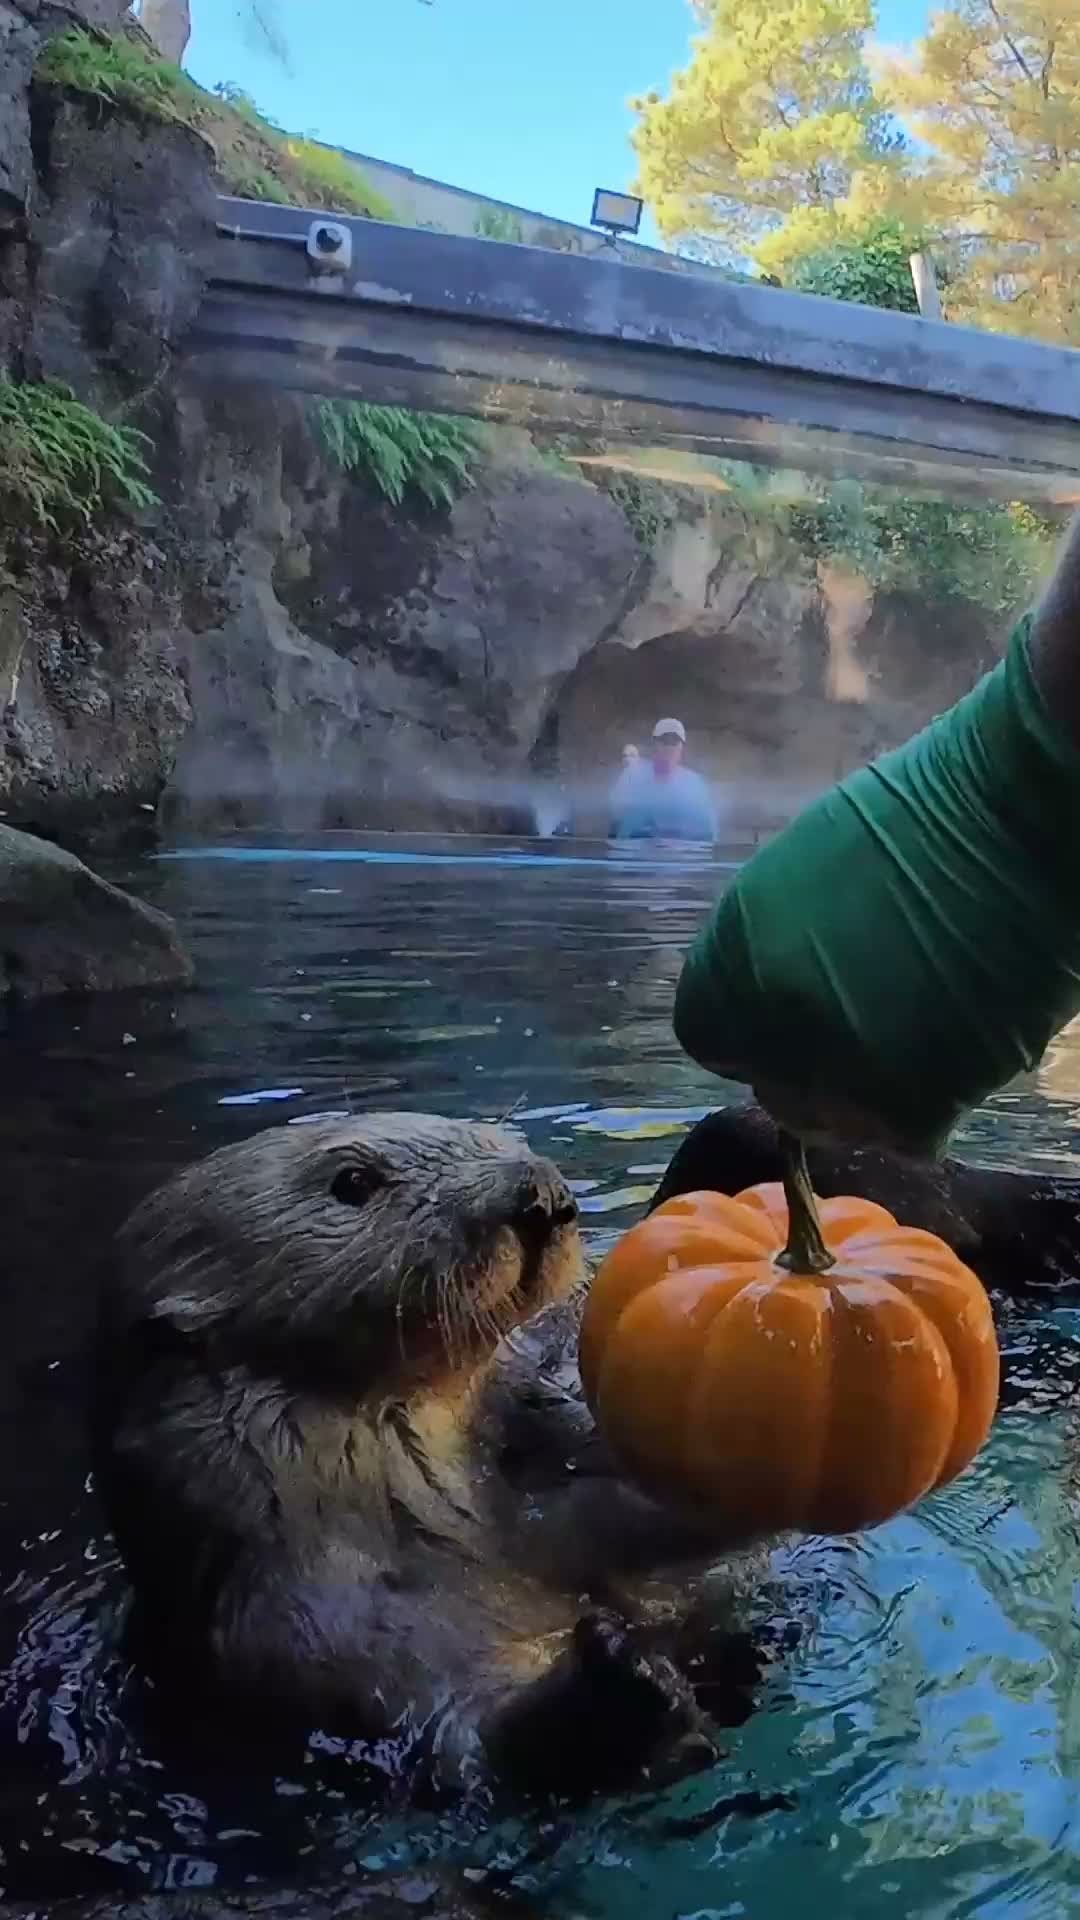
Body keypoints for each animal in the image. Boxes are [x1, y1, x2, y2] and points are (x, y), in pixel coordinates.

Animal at [95, 1114, 764, 1802]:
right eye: (353, 1182)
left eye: (491, 1134)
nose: (542, 1196)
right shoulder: (303, 1635)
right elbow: (466, 1738)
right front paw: (619, 1679)